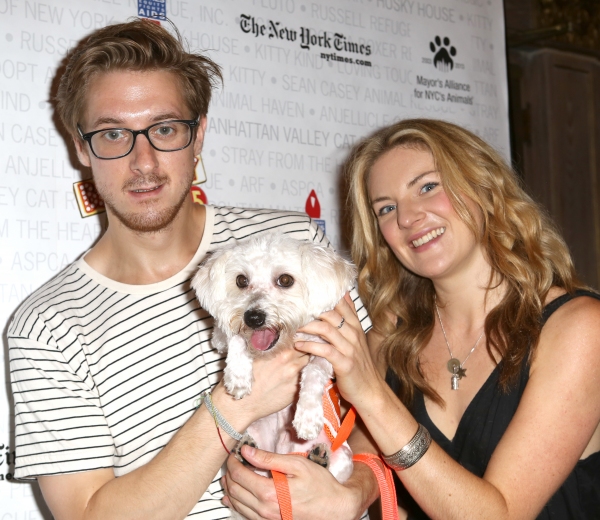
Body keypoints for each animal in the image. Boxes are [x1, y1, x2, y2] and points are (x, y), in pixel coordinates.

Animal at [192, 232, 356, 484]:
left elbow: (313, 371)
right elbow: (235, 337)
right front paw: (238, 376)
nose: (253, 318)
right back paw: (244, 453)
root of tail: (280, 455)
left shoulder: (327, 351)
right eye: (241, 280)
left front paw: (307, 416)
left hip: (343, 459)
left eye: (285, 280)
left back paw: (317, 460)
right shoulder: (219, 337)